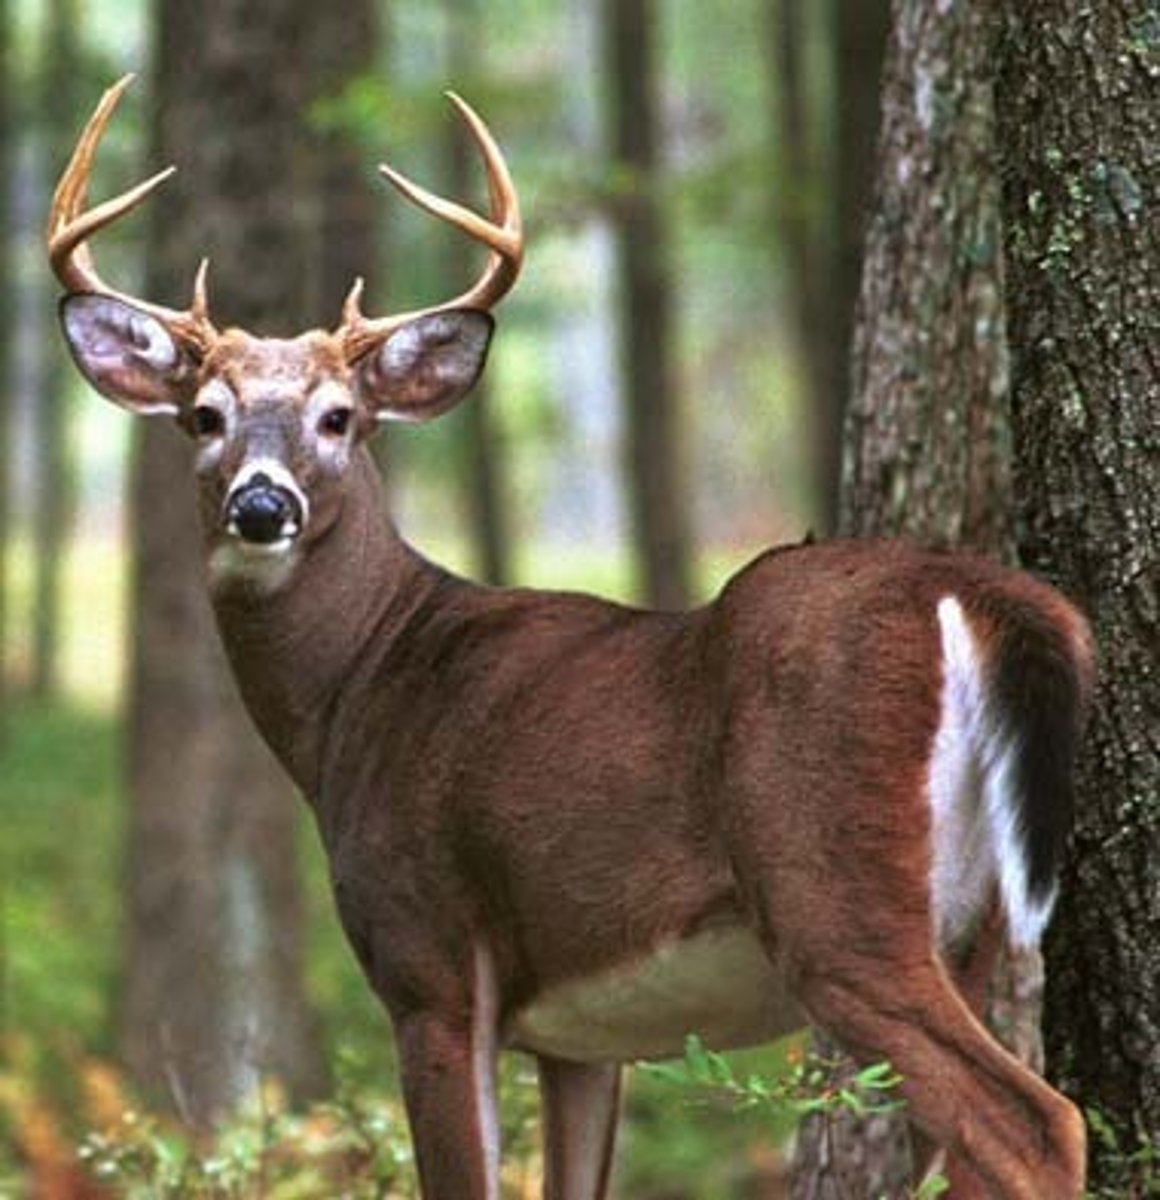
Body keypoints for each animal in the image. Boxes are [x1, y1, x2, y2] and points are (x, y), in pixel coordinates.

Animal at [49, 76, 1092, 1200]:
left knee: (1032, 1122)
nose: (260, 505)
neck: (360, 691)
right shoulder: (579, 1040)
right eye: (204, 416)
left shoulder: (428, 958)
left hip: (837, 894)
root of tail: (975, 593)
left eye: (338, 418)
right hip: (974, 926)